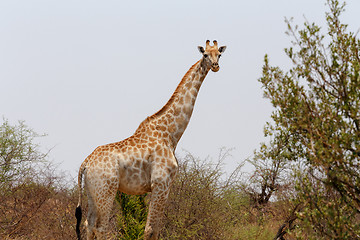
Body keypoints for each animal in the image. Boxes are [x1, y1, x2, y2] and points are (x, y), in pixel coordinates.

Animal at [75, 40, 226, 239]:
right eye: (205, 55)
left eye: (220, 54)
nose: (215, 66)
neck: (170, 134)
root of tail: (85, 163)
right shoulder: (160, 183)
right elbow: (150, 230)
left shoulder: (166, 187)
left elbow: (156, 228)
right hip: (106, 191)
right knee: (100, 227)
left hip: (92, 192)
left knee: (88, 224)